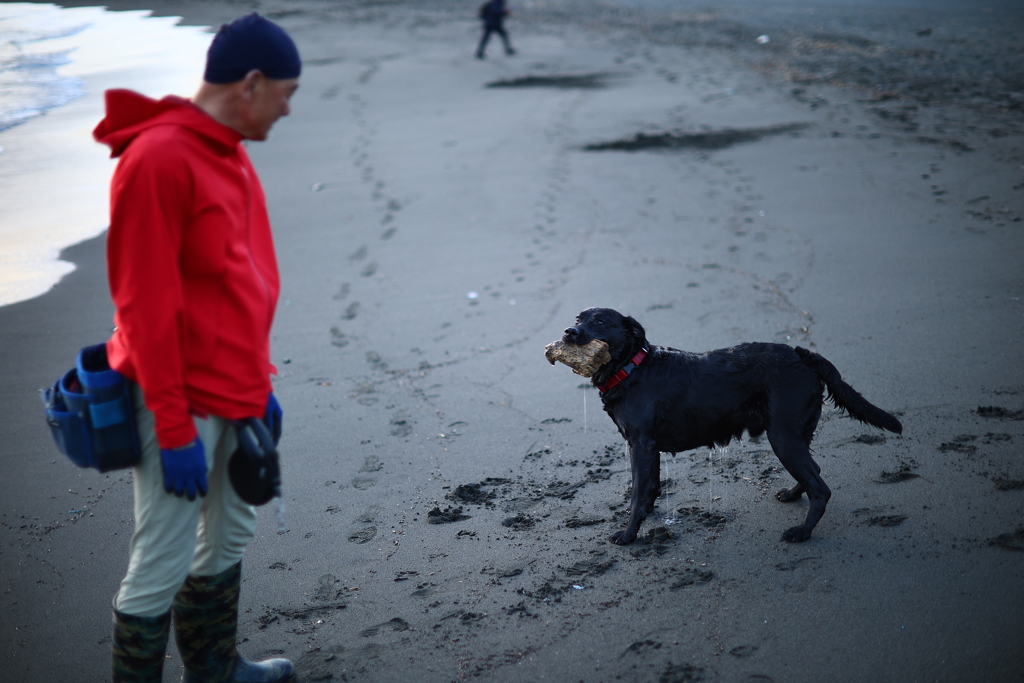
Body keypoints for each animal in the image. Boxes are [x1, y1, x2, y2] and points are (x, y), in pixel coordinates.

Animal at [561, 309, 905, 544]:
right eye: (578, 317)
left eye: (600, 322)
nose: (568, 331)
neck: (632, 369)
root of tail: (802, 354)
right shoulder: (649, 449)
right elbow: (650, 488)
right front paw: (648, 513)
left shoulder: (641, 445)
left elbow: (636, 494)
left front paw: (628, 534)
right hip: (795, 434)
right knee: (814, 473)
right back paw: (792, 495)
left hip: (783, 437)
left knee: (820, 488)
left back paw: (801, 532)